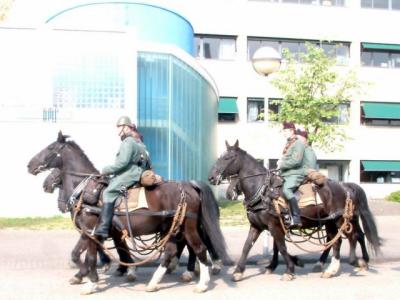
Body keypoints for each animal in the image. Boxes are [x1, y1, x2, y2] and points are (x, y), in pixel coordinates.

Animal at [27, 131, 228, 292]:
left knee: (198, 248)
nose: (30, 165)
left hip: (188, 226)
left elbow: (89, 256)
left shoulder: (91, 231)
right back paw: (154, 282)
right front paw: (88, 275)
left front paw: (91, 281)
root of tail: (188, 186)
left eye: (50, 148)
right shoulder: (91, 233)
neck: (84, 190)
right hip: (171, 228)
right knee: (171, 250)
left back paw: (201, 283)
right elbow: (81, 254)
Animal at [208, 141, 380, 282]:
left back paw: (357, 261)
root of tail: (345, 186)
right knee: (336, 242)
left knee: (353, 236)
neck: (263, 191)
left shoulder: (275, 226)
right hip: (330, 222)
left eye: (228, 158)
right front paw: (238, 271)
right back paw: (330, 269)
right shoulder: (257, 226)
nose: (211, 177)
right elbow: (247, 247)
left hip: (340, 220)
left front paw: (289, 269)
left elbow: (281, 247)